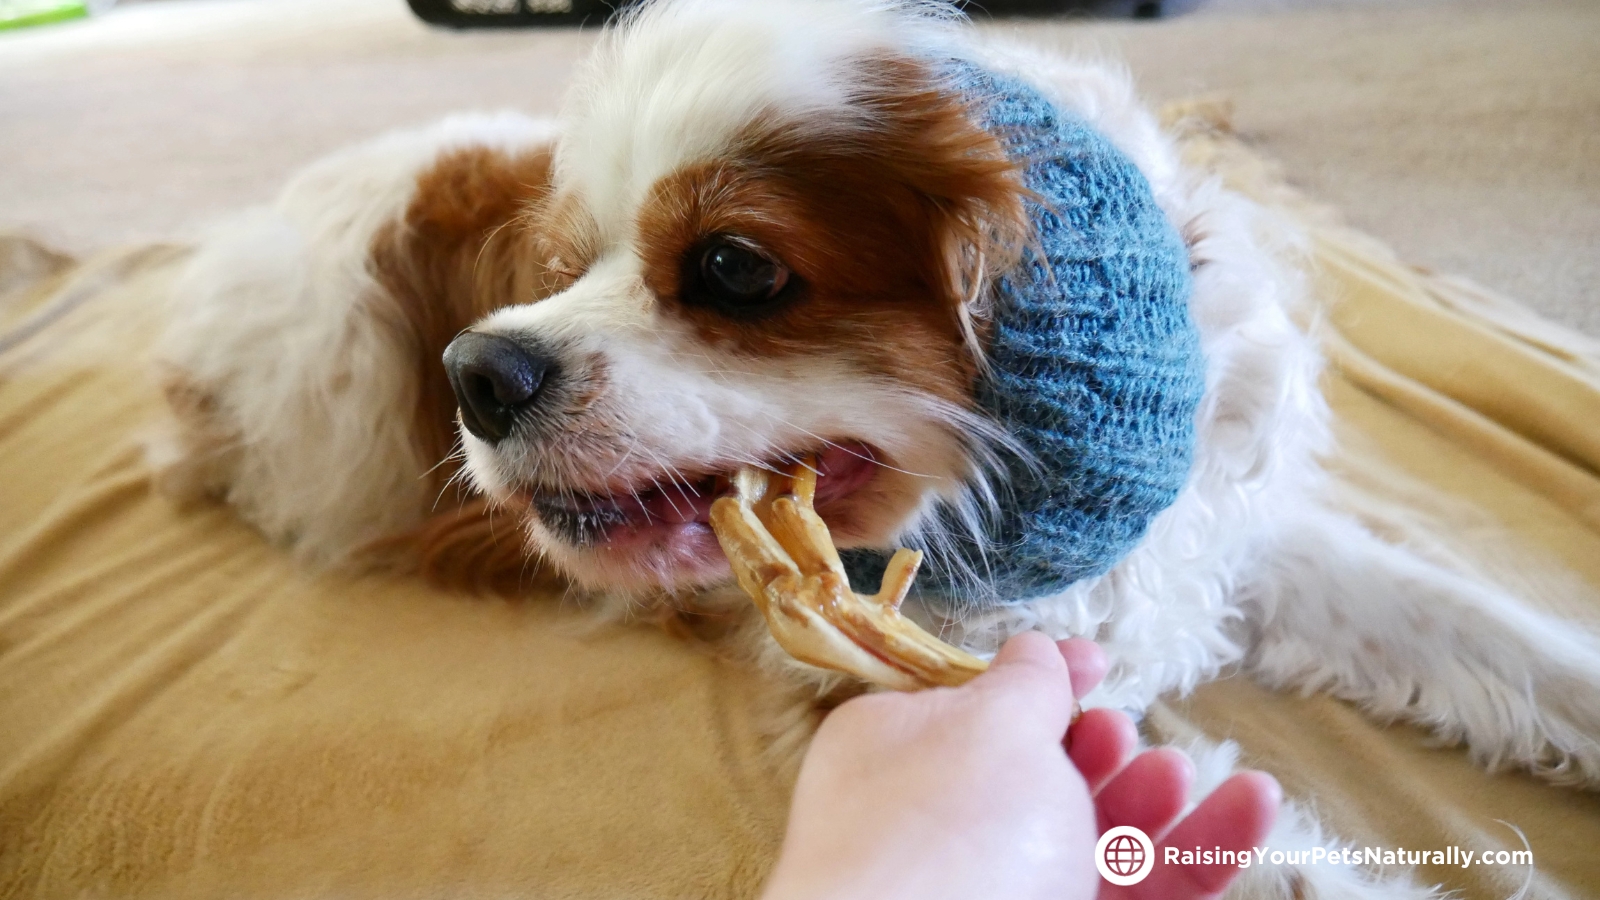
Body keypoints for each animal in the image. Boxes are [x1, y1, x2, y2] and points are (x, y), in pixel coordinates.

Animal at [150, 1, 1600, 890]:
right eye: (563, 268)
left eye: (734, 267)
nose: (474, 370)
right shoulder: (905, 683)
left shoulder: (1198, 544)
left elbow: (1473, 624)